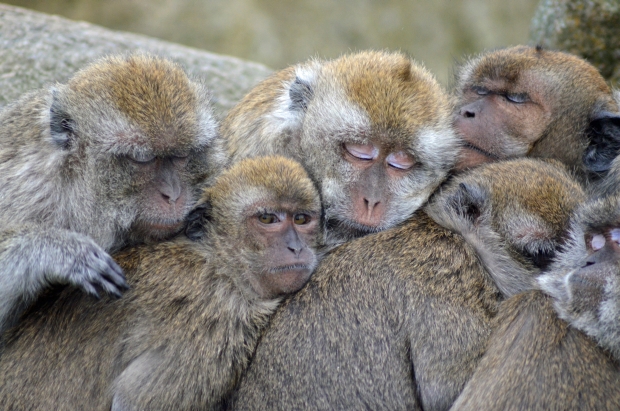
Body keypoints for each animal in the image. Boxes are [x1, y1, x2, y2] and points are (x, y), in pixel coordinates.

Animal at [0, 155, 322, 411]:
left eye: (301, 219)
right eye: (268, 218)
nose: (295, 247)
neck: (220, 264)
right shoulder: (215, 322)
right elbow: (131, 403)